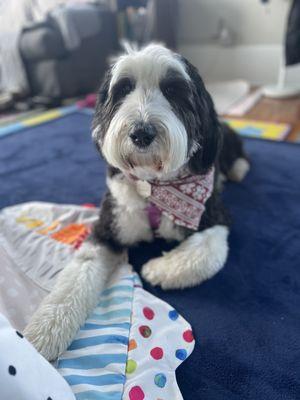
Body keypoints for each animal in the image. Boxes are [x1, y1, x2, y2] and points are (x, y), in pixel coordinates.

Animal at [24, 43, 248, 360]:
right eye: (123, 89)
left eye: (173, 90)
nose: (142, 133)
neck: (151, 187)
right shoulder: (109, 226)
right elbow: (76, 276)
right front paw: (45, 330)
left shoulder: (215, 216)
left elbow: (207, 252)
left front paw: (158, 268)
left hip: (225, 144)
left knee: (239, 154)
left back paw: (238, 170)